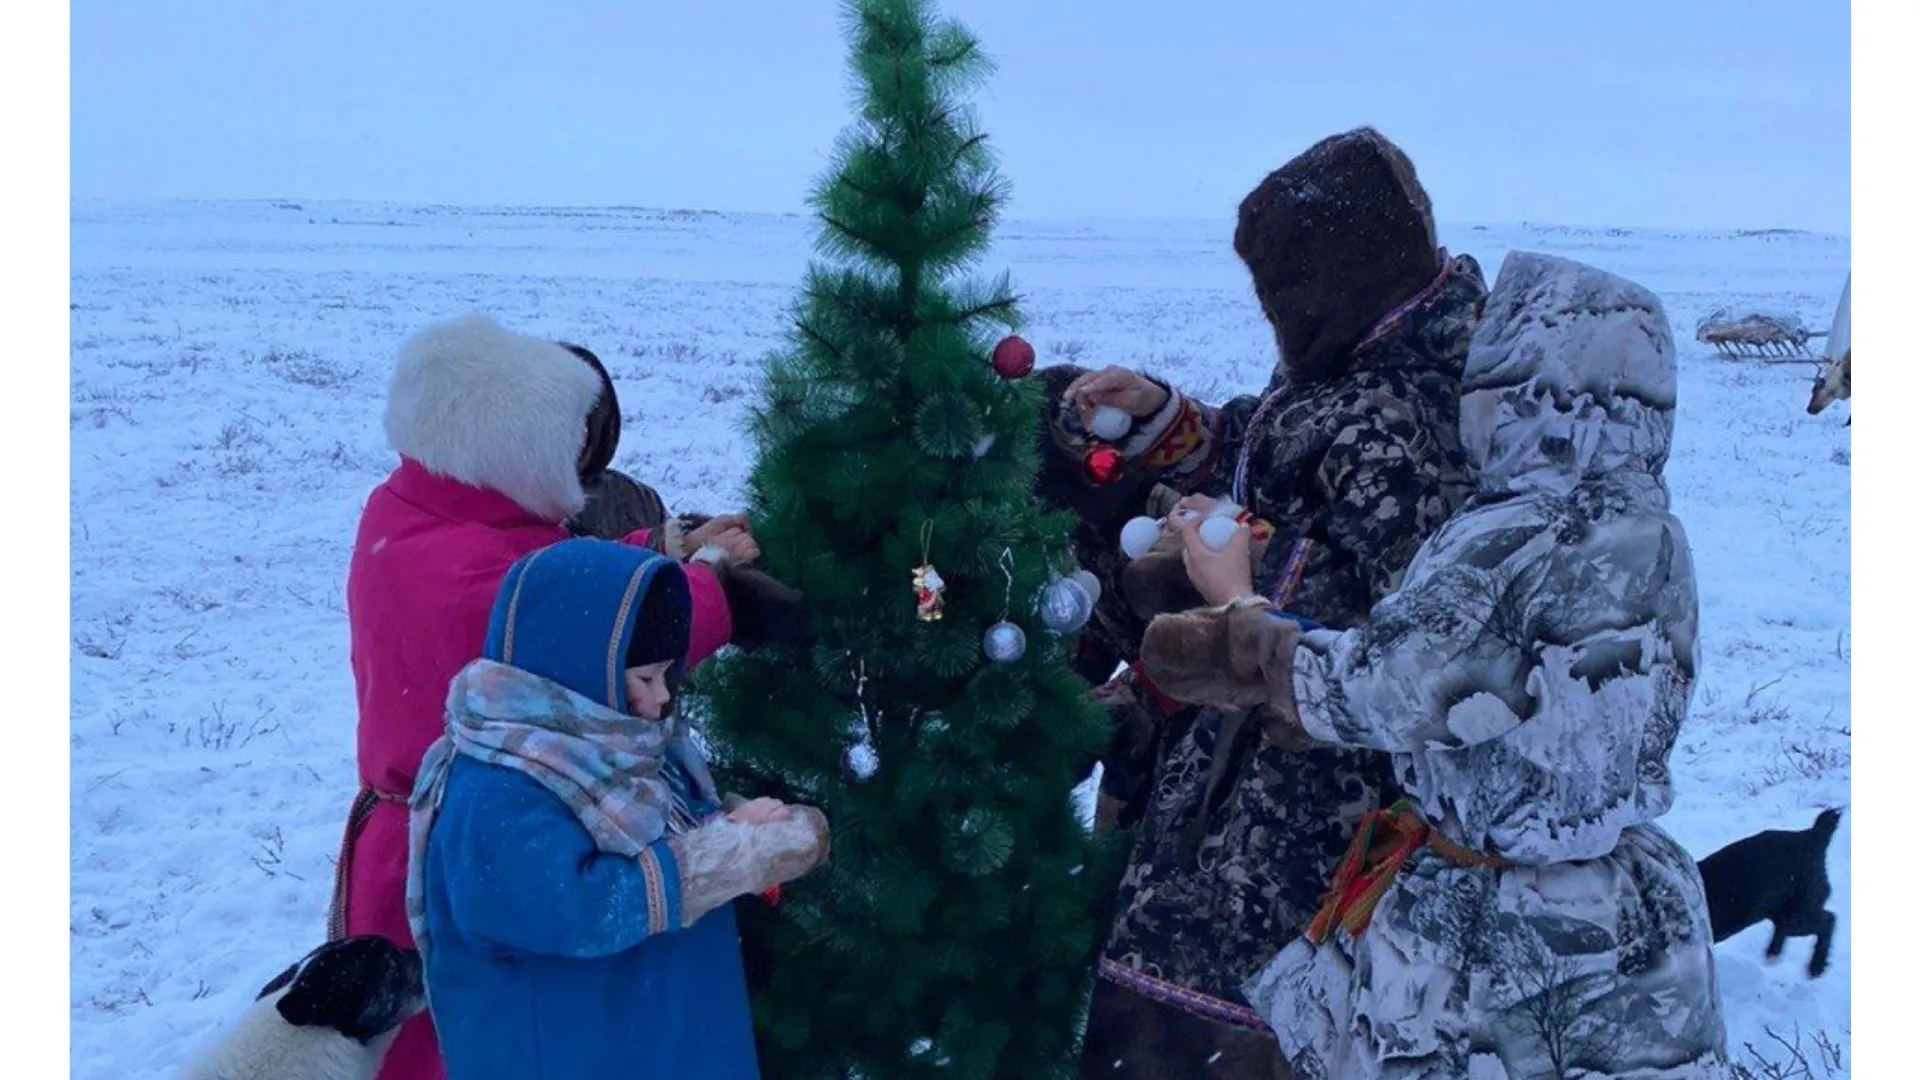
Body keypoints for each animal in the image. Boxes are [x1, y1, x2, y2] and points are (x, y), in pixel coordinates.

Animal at [1697, 807, 1843, 976]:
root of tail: (1811, 835)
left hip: (1796, 915)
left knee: (1829, 920)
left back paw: (1816, 966)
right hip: (1778, 911)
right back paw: (1773, 953)